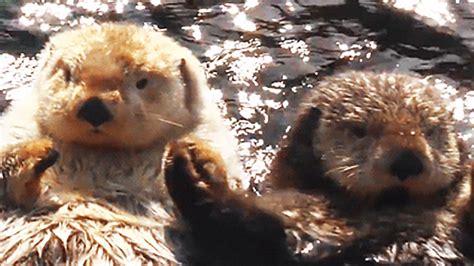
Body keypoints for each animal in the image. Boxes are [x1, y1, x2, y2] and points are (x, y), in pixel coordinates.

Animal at [0, 23, 243, 266]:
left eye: (141, 82)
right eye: (68, 74)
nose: (94, 108)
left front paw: (196, 163)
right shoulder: (16, 132)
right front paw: (38, 152)